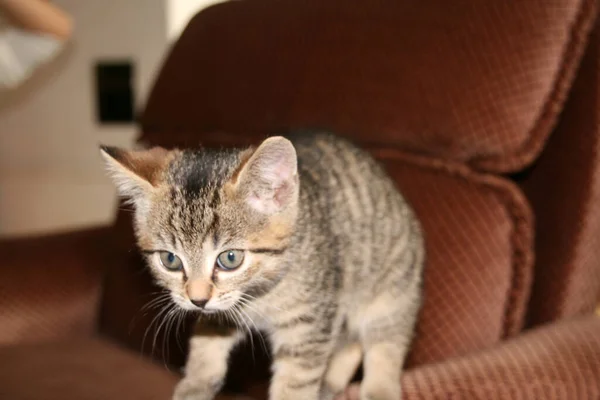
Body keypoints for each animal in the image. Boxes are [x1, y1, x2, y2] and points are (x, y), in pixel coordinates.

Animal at [101, 131, 424, 400]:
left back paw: (378, 388)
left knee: (384, 340)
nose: (197, 299)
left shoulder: (309, 322)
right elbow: (206, 342)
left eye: (230, 258)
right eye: (170, 260)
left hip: (392, 287)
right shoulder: (219, 311)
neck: (260, 294)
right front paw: (195, 384)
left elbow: (296, 384)